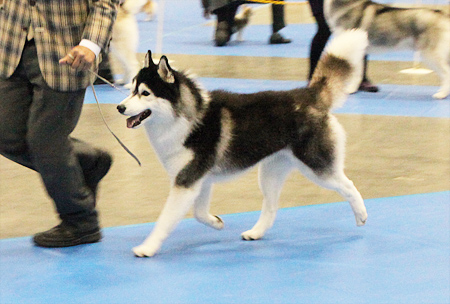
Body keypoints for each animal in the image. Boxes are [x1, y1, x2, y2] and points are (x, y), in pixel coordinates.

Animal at [116, 30, 370, 256]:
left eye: (145, 93)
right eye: (131, 89)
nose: (119, 107)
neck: (184, 119)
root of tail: (308, 94)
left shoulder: (186, 181)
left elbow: (164, 220)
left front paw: (147, 248)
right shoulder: (199, 180)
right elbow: (199, 213)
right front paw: (216, 222)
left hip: (316, 167)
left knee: (348, 185)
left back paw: (361, 214)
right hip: (269, 173)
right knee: (271, 206)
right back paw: (256, 233)